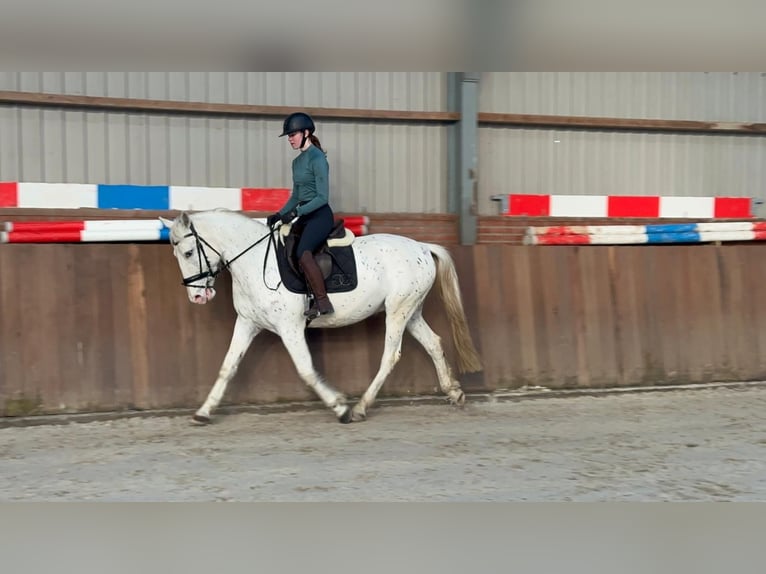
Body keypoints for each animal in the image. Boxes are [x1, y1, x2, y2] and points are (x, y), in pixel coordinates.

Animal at [160, 209, 484, 426]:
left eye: (188, 253)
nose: (197, 298)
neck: (253, 261)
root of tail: (422, 247)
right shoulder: (247, 323)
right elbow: (227, 367)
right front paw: (203, 412)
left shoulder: (289, 327)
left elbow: (305, 369)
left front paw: (340, 407)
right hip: (411, 310)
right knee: (433, 343)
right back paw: (454, 392)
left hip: (398, 311)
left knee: (390, 356)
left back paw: (361, 407)